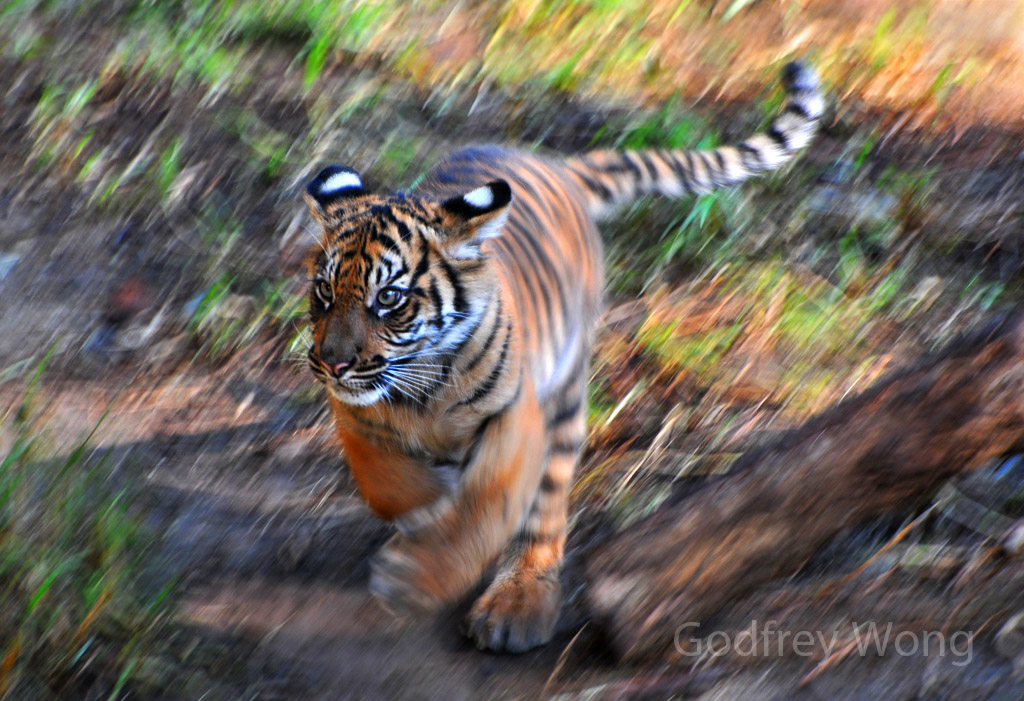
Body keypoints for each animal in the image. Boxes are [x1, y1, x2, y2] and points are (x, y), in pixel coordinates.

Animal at [302, 62, 824, 652]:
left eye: (388, 297)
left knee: (545, 514)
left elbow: (487, 502)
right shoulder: (354, 414)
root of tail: (561, 168)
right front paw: (427, 506)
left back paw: (518, 604)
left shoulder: (516, 415)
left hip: (566, 399)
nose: (333, 363)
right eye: (324, 291)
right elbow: (385, 480)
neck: (421, 384)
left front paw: (416, 575)